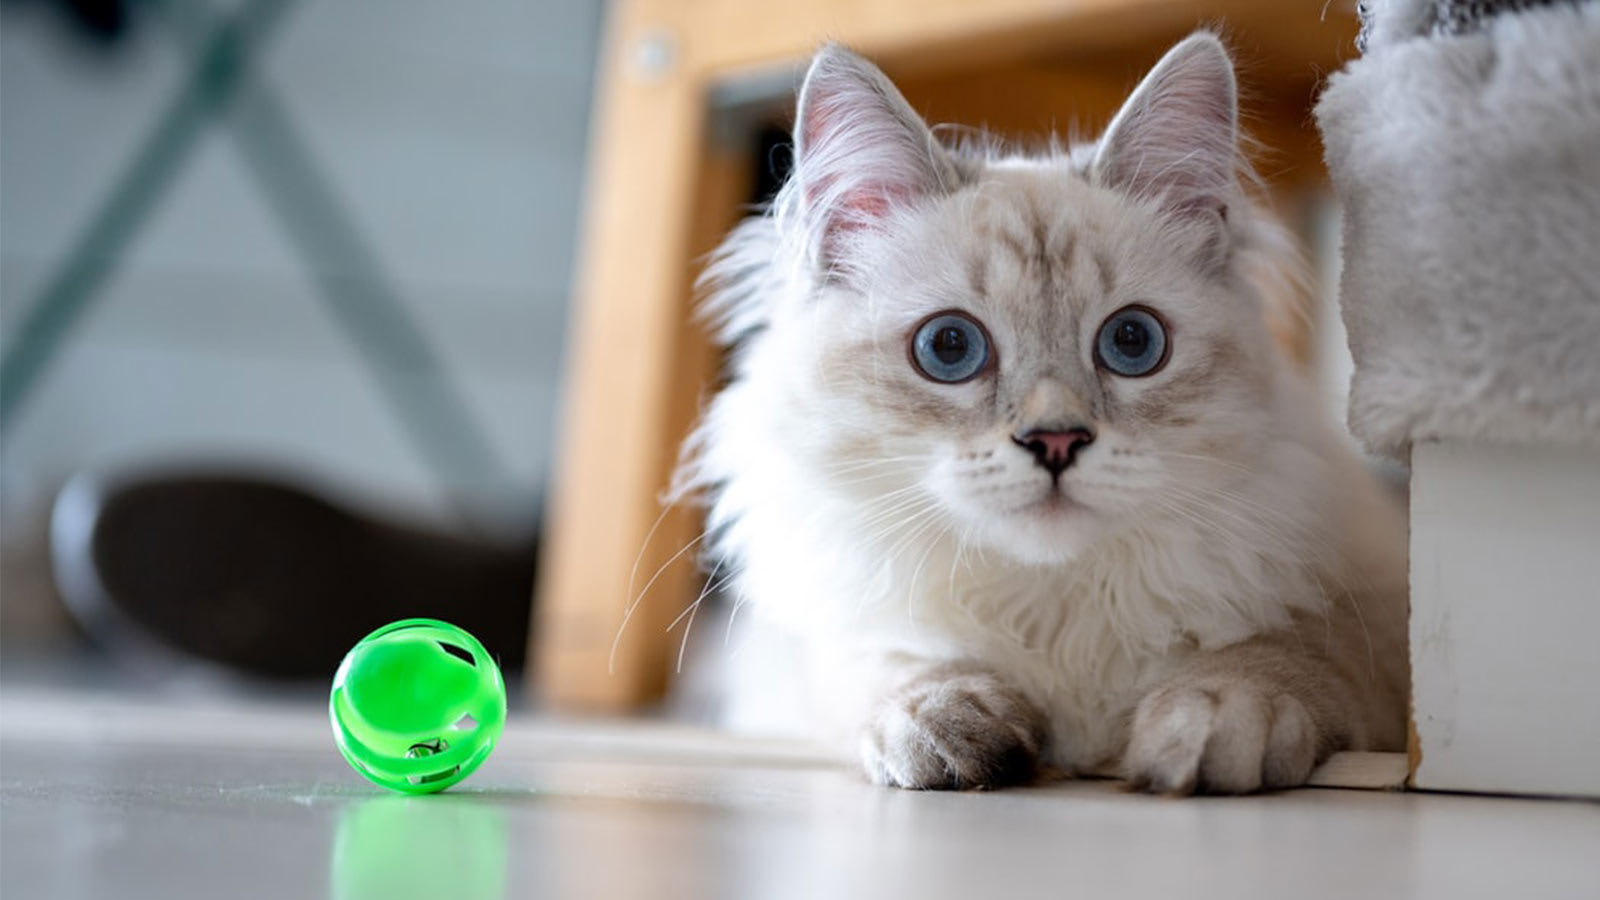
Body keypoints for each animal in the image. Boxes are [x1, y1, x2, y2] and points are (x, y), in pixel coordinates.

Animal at [681, 33, 1408, 791]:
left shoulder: (1374, 616)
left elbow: (1285, 654)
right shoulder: (821, 649)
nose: (1055, 441)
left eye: (1132, 342)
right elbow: (896, 669)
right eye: (949, 347)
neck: (1055, 609)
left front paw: (1213, 722)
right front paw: (947, 728)